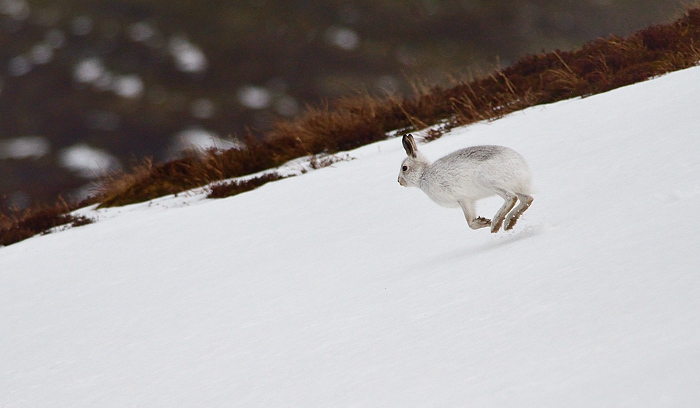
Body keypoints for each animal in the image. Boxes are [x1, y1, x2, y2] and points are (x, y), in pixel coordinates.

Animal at [398, 134, 533, 233]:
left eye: (404, 168)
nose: (399, 181)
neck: (423, 175)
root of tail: (521, 166)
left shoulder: (462, 198)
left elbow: (470, 223)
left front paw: (485, 222)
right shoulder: (466, 200)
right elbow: (470, 222)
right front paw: (484, 221)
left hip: (487, 181)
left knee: (511, 197)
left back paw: (496, 224)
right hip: (512, 186)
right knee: (527, 199)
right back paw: (509, 223)